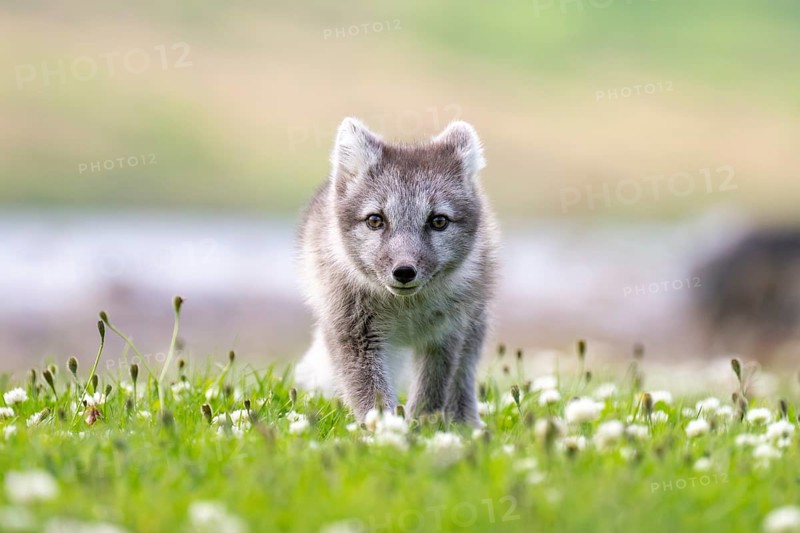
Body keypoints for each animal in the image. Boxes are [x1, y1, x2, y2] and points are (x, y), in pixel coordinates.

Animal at [295, 117, 498, 426]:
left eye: (439, 221)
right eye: (375, 220)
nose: (404, 271)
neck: (405, 309)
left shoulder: (447, 332)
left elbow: (433, 386)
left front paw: (423, 423)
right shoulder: (353, 332)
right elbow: (370, 392)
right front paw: (385, 428)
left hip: (475, 321)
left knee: (463, 374)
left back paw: (465, 423)